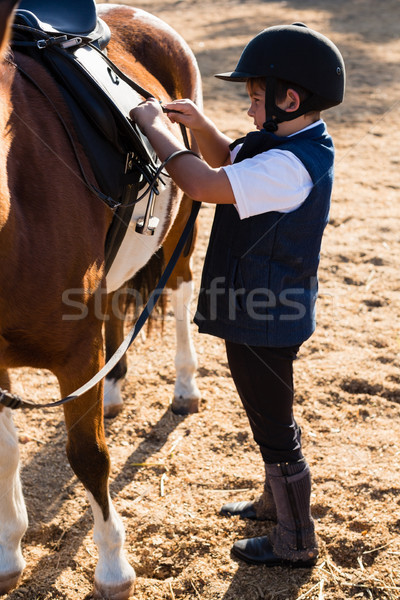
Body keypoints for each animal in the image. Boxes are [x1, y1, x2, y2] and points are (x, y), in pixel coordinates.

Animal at [0, 2, 202, 596]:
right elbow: (6, 454)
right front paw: (9, 553)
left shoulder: (74, 355)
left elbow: (89, 457)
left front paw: (114, 567)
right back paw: (112, 391)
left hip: (181, 224)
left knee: (180, 291)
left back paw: (184, 385)